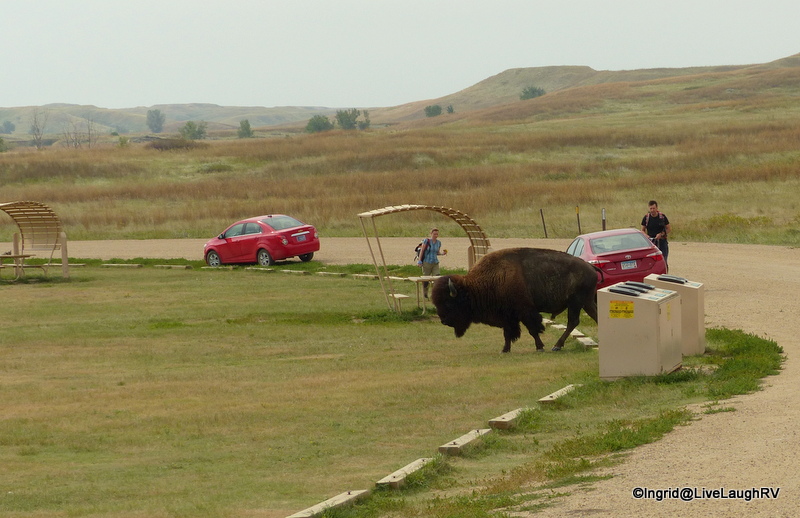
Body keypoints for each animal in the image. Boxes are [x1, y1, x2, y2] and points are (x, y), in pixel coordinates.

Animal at [431, 247, 599, 352]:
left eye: (448, 302)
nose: (443, 321)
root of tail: (591, 268)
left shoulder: (525, 311)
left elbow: (532, 329)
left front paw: (540, 347)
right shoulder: (507, 315)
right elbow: (508, 333)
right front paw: (505, 349)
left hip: (575, 303)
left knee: (573, 322)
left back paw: (556, 346)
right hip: (586, 302)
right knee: (594, 316)